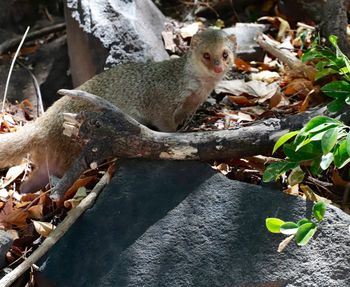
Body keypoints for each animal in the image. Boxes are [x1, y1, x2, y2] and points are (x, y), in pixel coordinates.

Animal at [0, 28, 237, 195]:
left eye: (225, 54)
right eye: (206, 55)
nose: (218, 67)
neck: (194, 89)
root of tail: (43, 120)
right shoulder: (161, 100)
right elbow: (164, 124)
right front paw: (177, 138)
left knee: (35, 178)